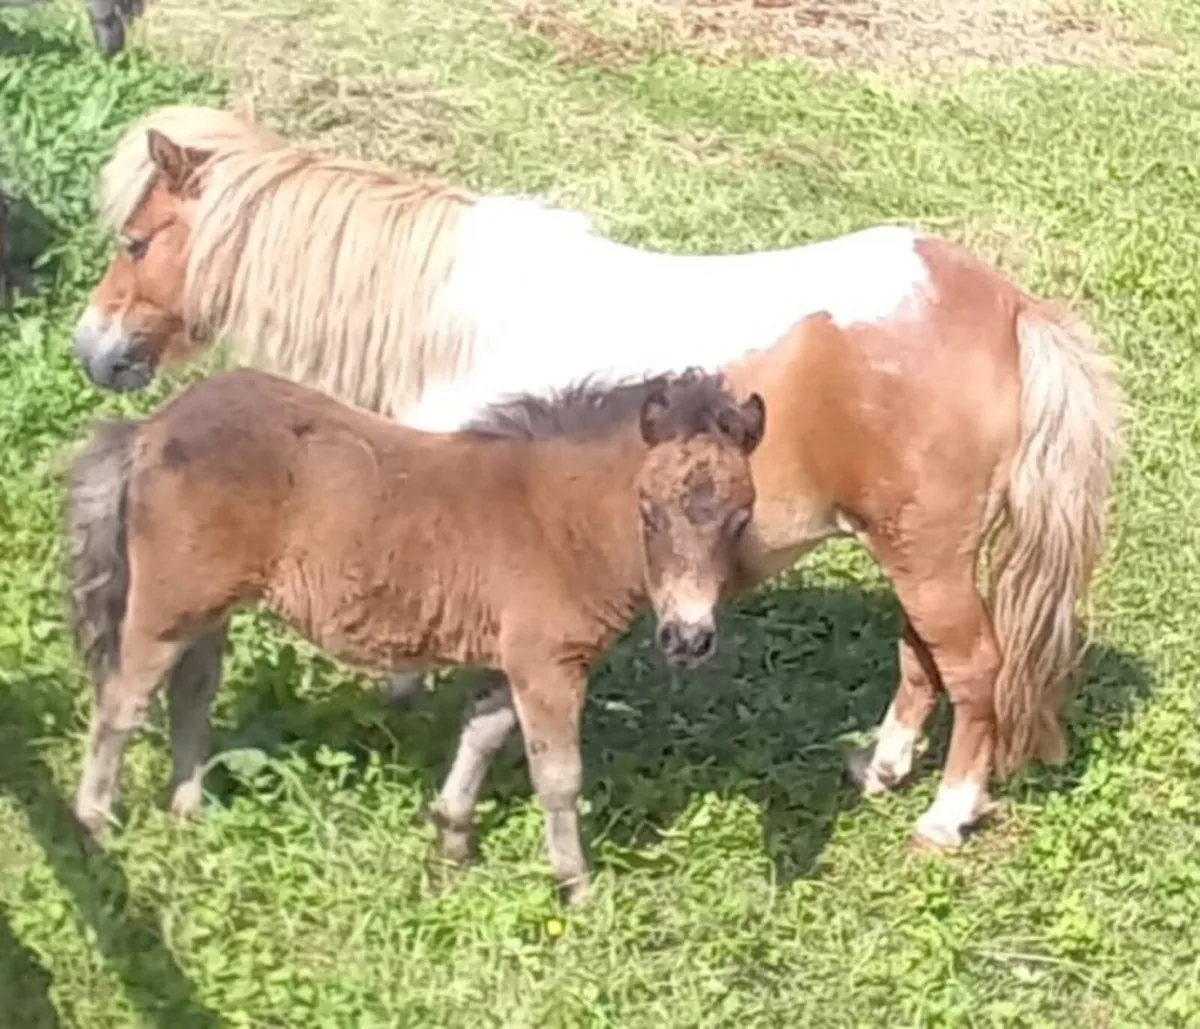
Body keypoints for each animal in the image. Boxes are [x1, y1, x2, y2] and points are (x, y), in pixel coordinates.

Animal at [65, 365, 766, 903]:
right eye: (648, 512)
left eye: (741, 517)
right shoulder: (548, 665)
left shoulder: (509, 660)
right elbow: (559, 777)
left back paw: (189, 812)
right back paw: (94, 824)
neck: (560, 522)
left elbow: (481, 735)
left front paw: (451, 841)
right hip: (168, 606)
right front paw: (577, 888)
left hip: (208, 611)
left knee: (191, 694)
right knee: (122, 701)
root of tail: (152, 428)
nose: (687, 638)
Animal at [73, 104, 1124, 851]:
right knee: (923, 658)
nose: (95, 350)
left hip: (927, 554)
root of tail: (1009, 308)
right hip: (909, 548)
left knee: (976, 668)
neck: (451, 318)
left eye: (135, 242)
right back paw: (881, 766)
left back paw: (945, 815)